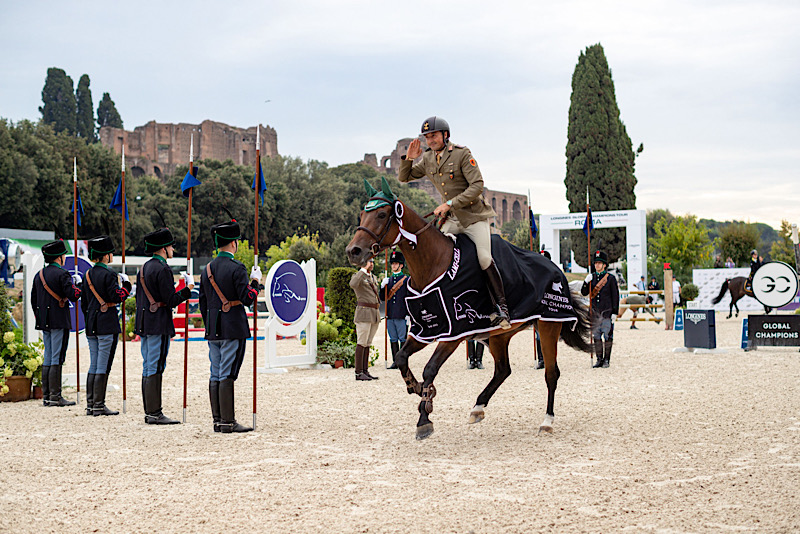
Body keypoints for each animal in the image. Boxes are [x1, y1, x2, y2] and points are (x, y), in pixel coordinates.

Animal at [346, 178, 592, 442]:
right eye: (362, 214)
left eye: (382, 214)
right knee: (503, 370)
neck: (434, 264)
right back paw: (478, 407)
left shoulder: (453, 335)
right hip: (499, 336)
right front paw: (417, 388)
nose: (353, 251)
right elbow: (401, 357)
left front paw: (424, 417)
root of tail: (556, 269)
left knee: (550, 374)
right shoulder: (425, 330)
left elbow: (430, 369)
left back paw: (546, 421)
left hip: (547, 326)